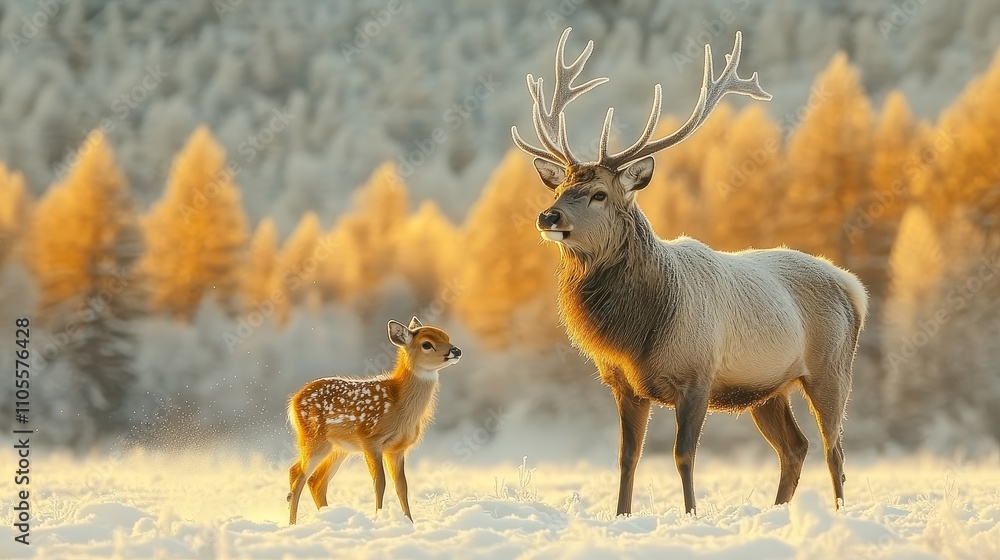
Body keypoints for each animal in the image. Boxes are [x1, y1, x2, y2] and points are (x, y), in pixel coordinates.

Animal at [286, 317, 461, 524]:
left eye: (447, 337)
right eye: (427, 344)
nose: (456, 350)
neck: (399, 404)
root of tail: (293, 400)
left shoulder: (397, 449)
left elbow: (402, 486)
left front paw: (409, 522)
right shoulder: (370, 439)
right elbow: (380, 483)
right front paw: (379, 518)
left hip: (338, 448)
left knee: (315, 480)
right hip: (314, 438)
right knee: (297, 474)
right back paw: (292, 524)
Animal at [510, 28, 868, 516]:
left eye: (600, 193)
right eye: (561, 187)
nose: (548, 216)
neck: (639, 331)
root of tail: (853, 288)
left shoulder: (698, 373)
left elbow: (684, 455)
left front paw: (691, 514)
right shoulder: (623, 385)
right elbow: (627, 456)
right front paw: (621, 515)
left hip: (831, 367)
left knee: (835, 450)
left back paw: (838, 512)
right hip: (769, 389)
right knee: (795, 448)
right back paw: (779, 510)